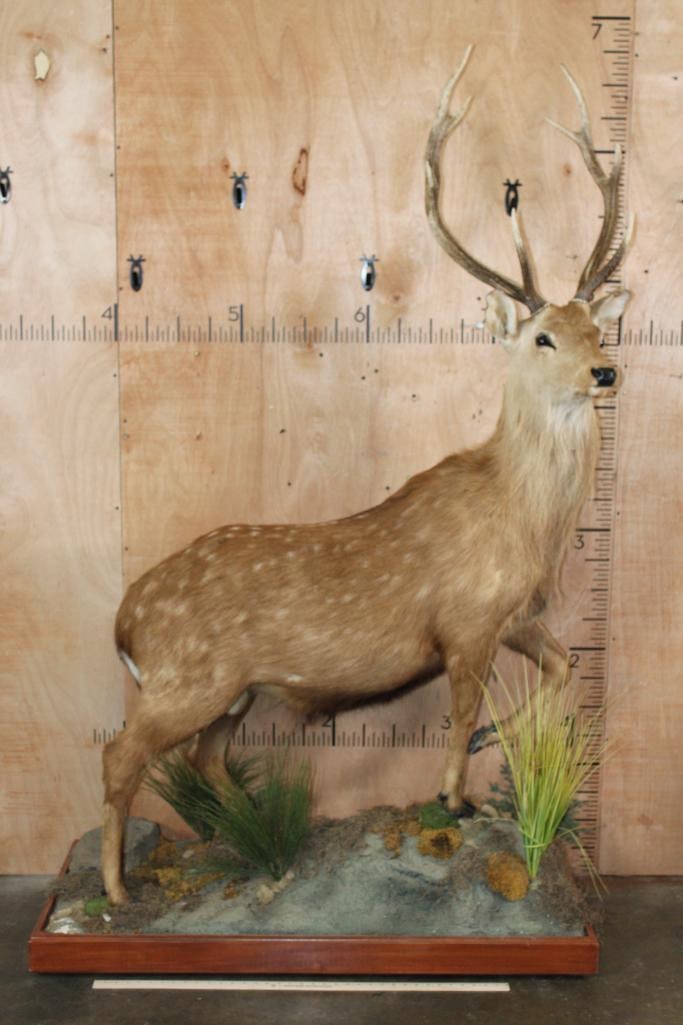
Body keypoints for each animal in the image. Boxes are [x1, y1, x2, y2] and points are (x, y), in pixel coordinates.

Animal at [102, 47, 633, 905]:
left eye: (594, 326)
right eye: (543, 337)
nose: (606, 372)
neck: (525, 523)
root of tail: (125, 620)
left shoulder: (516, 614)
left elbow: (561, 668)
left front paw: (494, 755)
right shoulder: (465, 620)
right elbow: (460, 710)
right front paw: (455, 792)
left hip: (232, 691)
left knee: (204, 758)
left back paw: (252, 836)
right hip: (186, 679)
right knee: (121, 754)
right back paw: (119, 891)